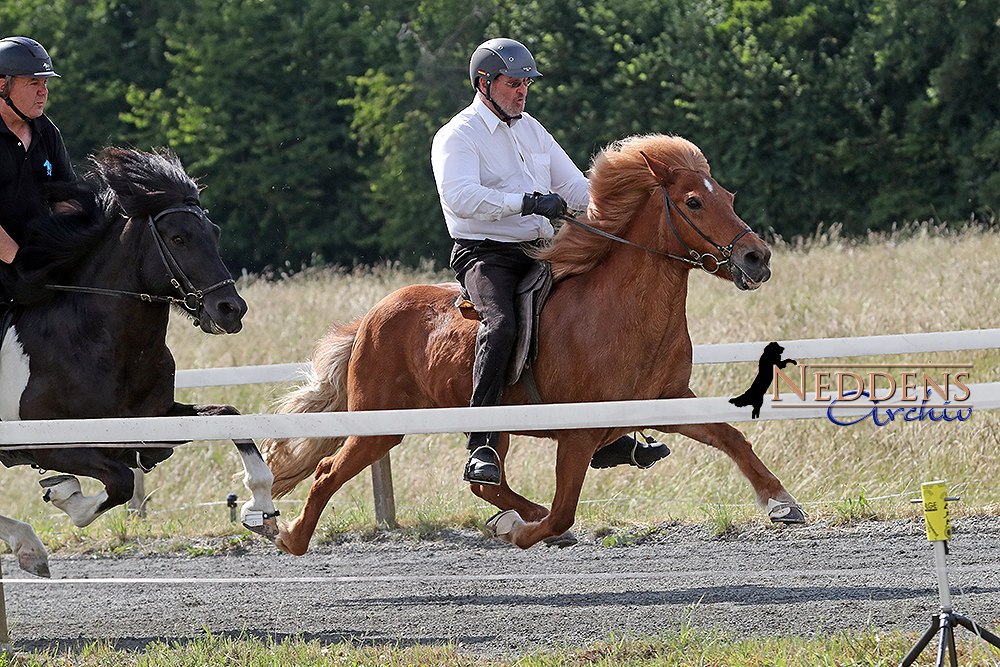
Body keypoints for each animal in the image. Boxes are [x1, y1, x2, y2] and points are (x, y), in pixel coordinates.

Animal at [1, 149, 276, 576]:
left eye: (213, 232)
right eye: (178, 238)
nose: (231, 310)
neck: (99, 343)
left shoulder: (152, 426)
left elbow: (230, 416)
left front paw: (260, 507)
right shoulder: (52, 444)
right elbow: (119, 483)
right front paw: (64, 495)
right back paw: (29, 543)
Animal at [264, 134, 804, 552]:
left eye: (728, 197)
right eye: (693, 201)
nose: (757, 258)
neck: (624, 314)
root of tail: (369, 320)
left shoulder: (666, 401)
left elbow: (731, 437)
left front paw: (781, 503)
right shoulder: (577, 435)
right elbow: (565, 509)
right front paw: (528, 535)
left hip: (485, 427)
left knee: (486, 481)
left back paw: (512, 517)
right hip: (380, 426)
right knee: (328, 470)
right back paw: (291, 537)